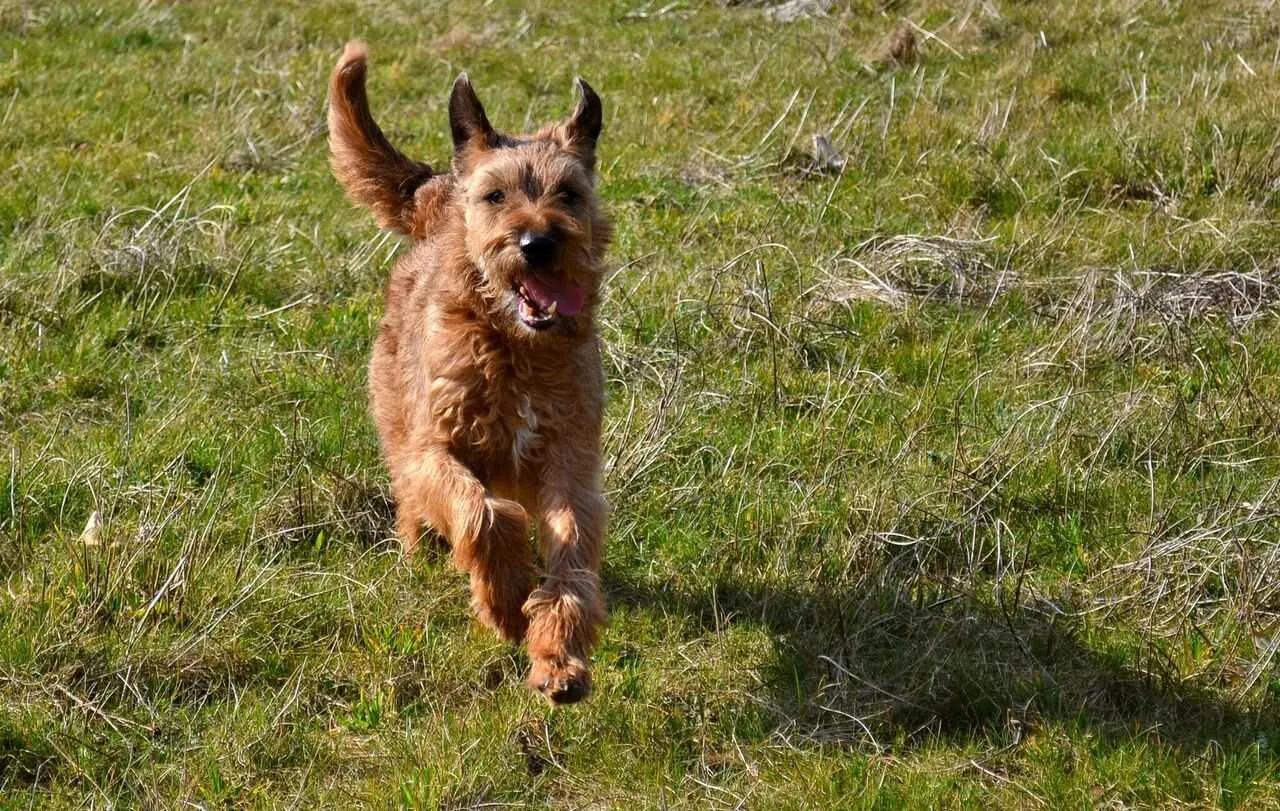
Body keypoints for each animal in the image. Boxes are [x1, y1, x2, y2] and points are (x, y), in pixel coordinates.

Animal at [327, 42, 611, 700]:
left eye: (568, 194)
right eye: (496, 196)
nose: (538, 244)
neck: (515, 349)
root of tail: (441, 193)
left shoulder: (572, 464)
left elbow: (571, 563)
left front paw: (559, 656)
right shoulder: (433, 449)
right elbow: (485, 514)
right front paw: (505, 603)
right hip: (399, 428)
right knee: (419, 507)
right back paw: (421, 557)